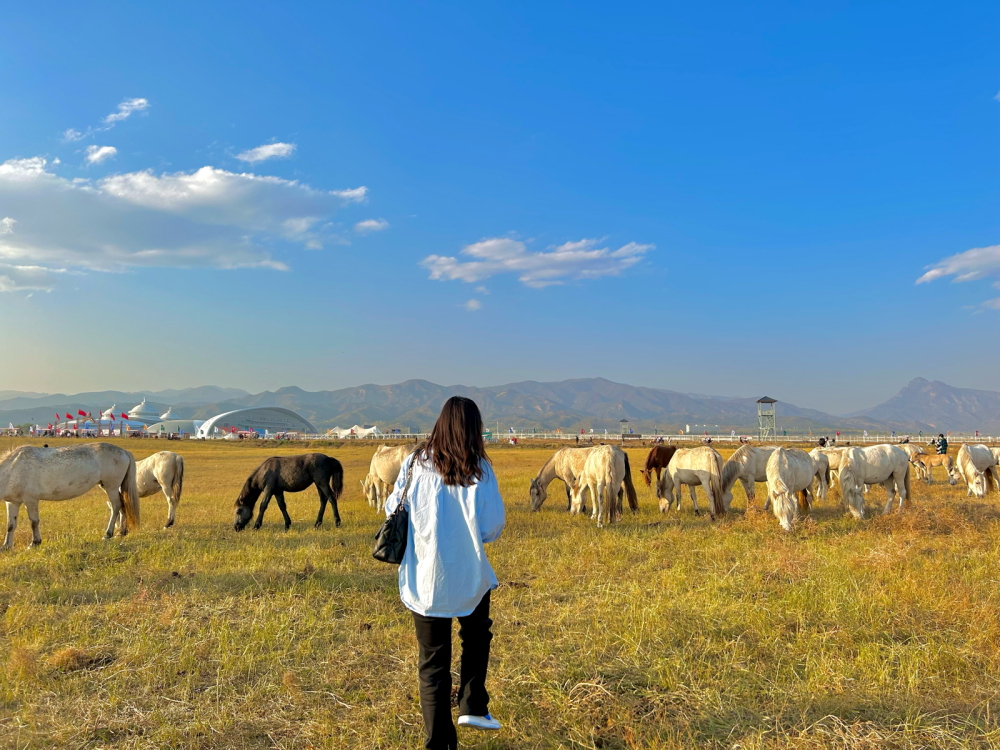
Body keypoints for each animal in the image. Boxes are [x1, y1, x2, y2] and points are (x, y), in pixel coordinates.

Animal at [0, 444, 141, 548]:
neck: (13, 469)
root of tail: (124, 451)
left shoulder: (31, 500)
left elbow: (34, 522)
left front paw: (35, 543)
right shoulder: (12, 502)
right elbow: (10, 525)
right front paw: (6, 546)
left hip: (111, 487)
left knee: (116, 506)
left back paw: (108, 534)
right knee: (122, 505)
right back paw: (121, 532)